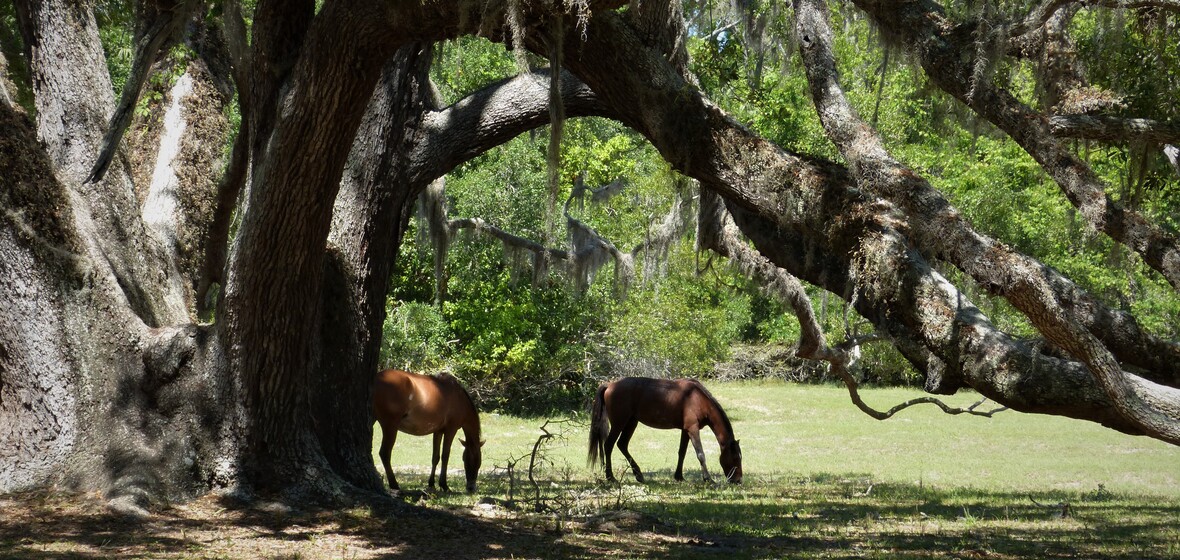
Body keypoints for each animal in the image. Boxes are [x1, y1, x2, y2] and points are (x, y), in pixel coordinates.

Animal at [590, 379, 745, 483]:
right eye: (736, 458)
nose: (738, 480)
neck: (698, 399)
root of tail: (610, 385)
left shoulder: (686, 430)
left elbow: (682, 452)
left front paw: (679, 476)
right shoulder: (693, 429)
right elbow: (700, 454)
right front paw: (708, 479)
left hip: (631, 422)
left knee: (622, 445)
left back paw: (638, 475)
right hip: (619, 423)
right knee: (609, 445)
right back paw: (610, 477)